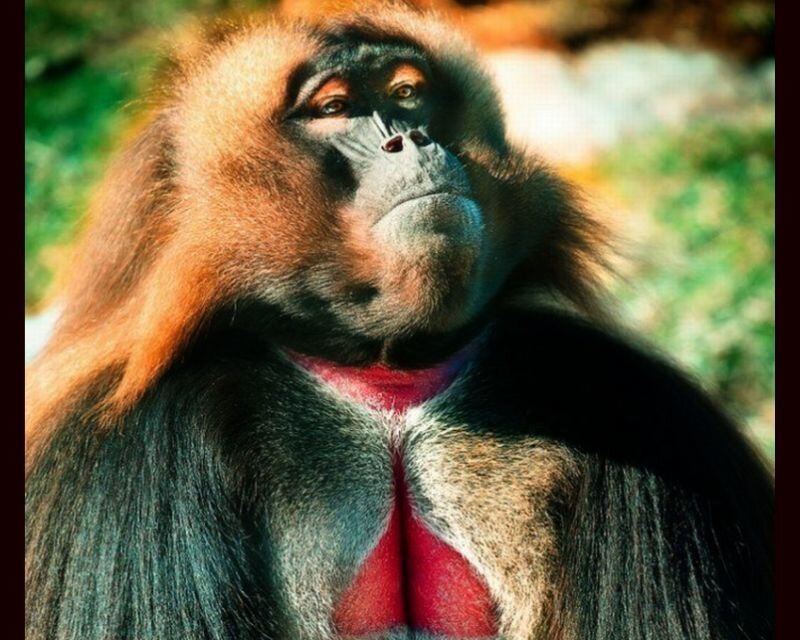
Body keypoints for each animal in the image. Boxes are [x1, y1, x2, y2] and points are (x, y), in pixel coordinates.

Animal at [25, 6, 773, 640]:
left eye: (407, 92)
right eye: (333, 108)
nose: (410, 139)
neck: (388, 374)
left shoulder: (638, 406)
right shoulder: (137, 461)